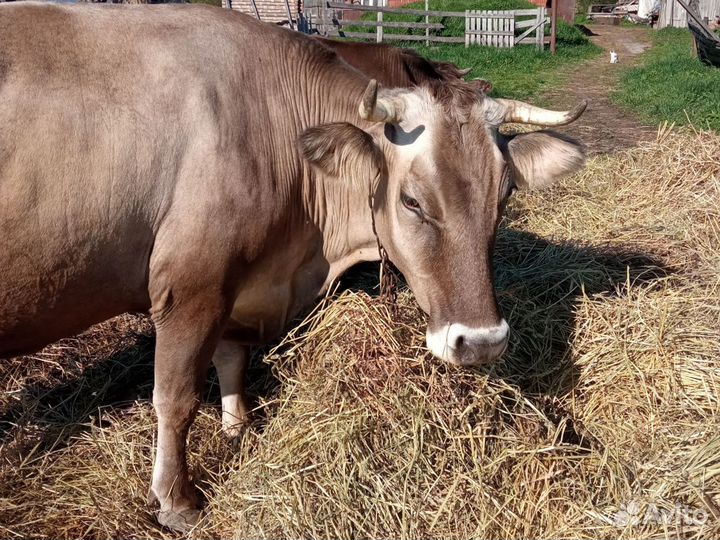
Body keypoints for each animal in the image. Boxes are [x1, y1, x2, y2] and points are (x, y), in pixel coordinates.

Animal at [0, 3, 584, 532]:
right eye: (412, 201)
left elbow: (231, 359)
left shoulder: (239, 283)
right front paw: (177, 501)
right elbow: (175, 398)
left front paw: (240, 429)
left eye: (505, 194)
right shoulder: (191, 288)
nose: (482, 343)